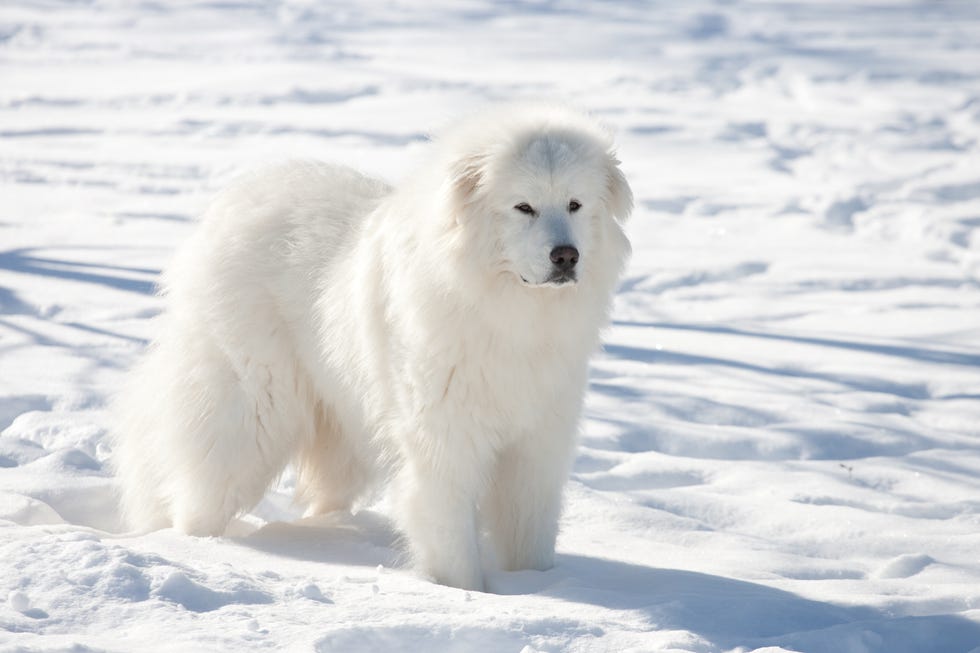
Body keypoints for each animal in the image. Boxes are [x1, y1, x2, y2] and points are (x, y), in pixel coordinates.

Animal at [113, 103, 636, 592]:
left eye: (575, 204)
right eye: (523, 207)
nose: (566, 256)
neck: (507, 312)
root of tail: (232, 203)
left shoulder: (537, 445)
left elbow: (530, 531)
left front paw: (537, 586)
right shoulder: (444, 442)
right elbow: (450, 535)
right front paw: (466, 595)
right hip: (253, 409)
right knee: (204, 483)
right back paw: (196, 547)